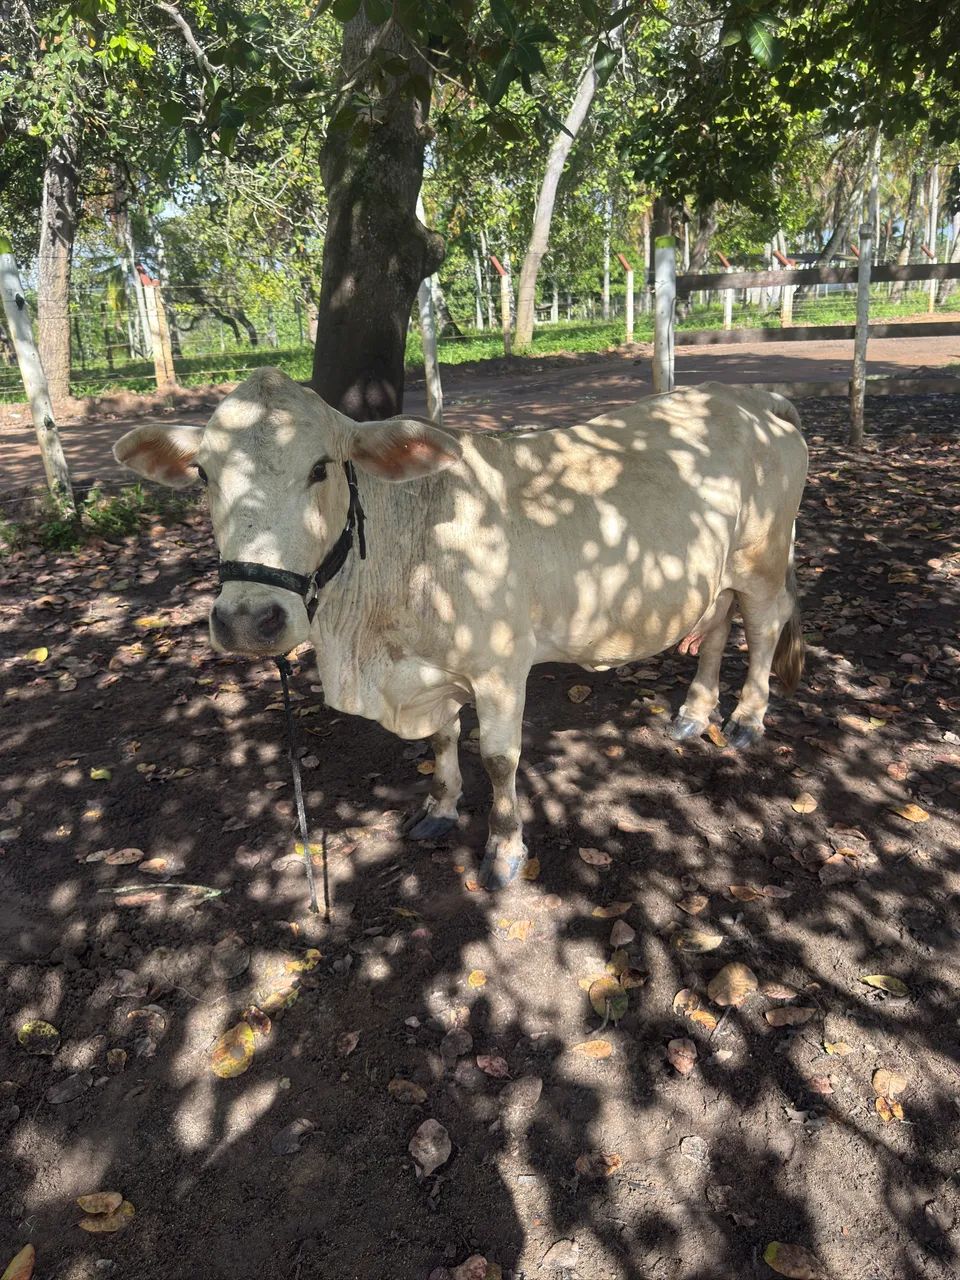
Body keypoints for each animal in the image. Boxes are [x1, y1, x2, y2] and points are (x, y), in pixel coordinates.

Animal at [114, 369, 807, 889]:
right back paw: (693, 713)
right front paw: (441, 808)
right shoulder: (427, 671)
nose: (247, 620)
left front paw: (504, 851)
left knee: (764, 625)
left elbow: (499, 759)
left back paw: (747, 719)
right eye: (203, 474)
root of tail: (753, 398)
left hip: (762, 561)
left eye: (320, 468)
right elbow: (441, 740)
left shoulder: (500, 666)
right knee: (718, 625)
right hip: (717, 573)